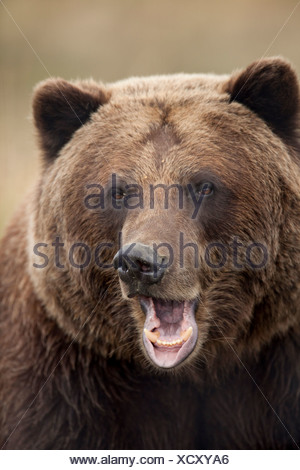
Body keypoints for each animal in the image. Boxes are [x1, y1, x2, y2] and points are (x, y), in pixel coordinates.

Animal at [0, 57, 300, 450]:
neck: (192, 372)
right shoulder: (59, 383)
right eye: (118, 191)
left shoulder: (278, 370)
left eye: (204, 186)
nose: (140, 262)